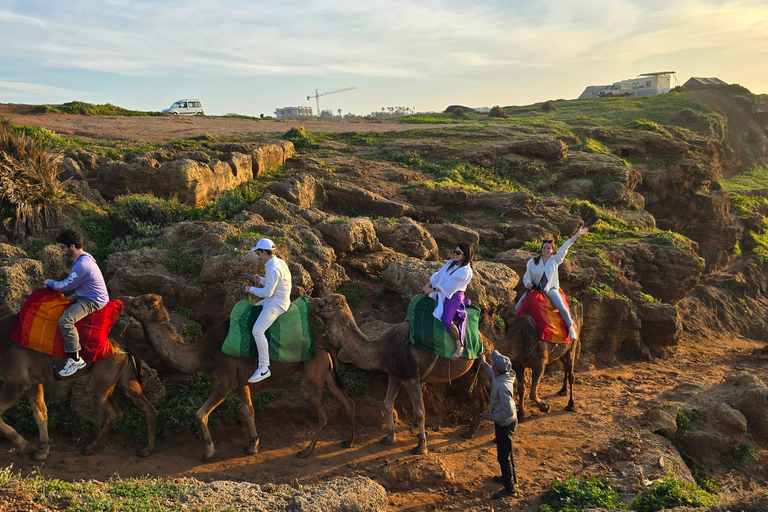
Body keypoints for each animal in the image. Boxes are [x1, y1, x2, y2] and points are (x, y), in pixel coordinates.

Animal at [0, 312, 158, 460]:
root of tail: (123, 345)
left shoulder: (17, 382)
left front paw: (24, 446)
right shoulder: (33, 382)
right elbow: (41, 414)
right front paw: (41, 452)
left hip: (101, 379)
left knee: (113, 412)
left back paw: (90, 448)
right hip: (125, 376)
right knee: (146, 407)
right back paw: (146, 450)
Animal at [123, 294, 356, 462]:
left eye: (137, 303)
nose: (123, 300)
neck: (199, 353)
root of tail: (325, 343)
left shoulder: (224, 380)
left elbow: (200, 414)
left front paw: (208, 452)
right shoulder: (240, 382)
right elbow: (248, 410)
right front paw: (252, 445)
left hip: (312, 372)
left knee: (323, 412)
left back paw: (306, 451)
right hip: (325, 372)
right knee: (347, 402)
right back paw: (348, 442)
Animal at [308, 294, 488, 454]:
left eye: (325, 302)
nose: (312, 301)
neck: (381, 349)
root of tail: (483, 337)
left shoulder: (411, 377)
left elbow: (419, 412)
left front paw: (421, 447)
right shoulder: (394, 375)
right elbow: (388, 403)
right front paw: (389, 438)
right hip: (471, 371)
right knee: (483, 398)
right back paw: (470, 432)